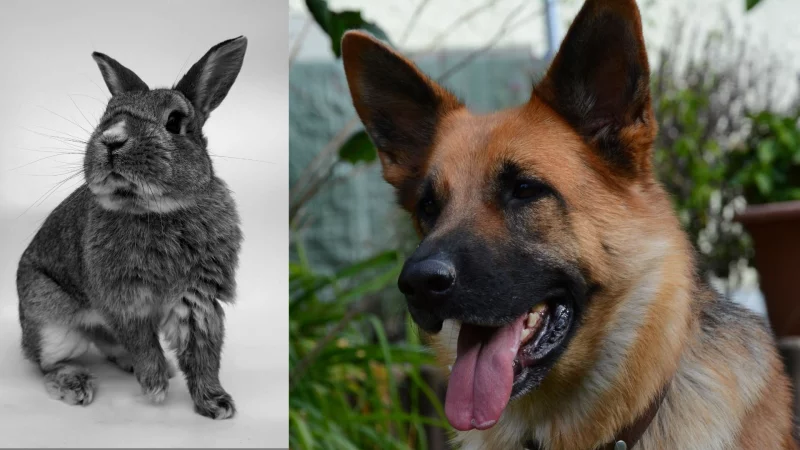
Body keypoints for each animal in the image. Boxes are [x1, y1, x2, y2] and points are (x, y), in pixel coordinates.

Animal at [16, 36, 247, 420]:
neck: (156, 209)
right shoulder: (124, 299)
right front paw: (155, 387)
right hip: (50, 320)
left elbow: (203, 355)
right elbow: (143, 343)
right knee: (48, 364)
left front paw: (216, 404)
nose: (111, 140)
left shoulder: (196, 298)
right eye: (106, 117)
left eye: (174, 121)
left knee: (107, 343)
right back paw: (76, 384)